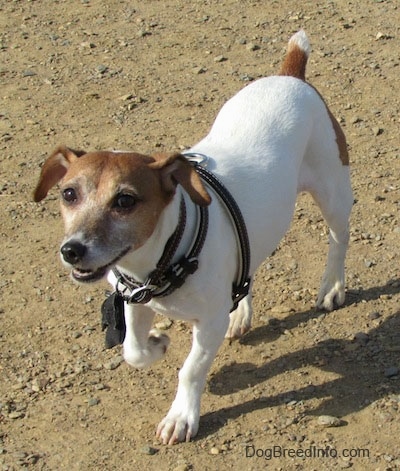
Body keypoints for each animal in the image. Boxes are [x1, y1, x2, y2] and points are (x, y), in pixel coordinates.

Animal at [35, 32, 354, 446]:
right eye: (69, 194)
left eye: (125, 200)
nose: (72, 250)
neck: (167, 256)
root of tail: (291, 75)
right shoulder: (133, 299)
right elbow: (132, 349)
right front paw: (157, 343)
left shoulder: (208, 322)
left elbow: (190, 369)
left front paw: (181, 416)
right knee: (248, 265)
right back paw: (241, 312)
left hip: (333, 192)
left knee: (338, 240)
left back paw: (332, 287)